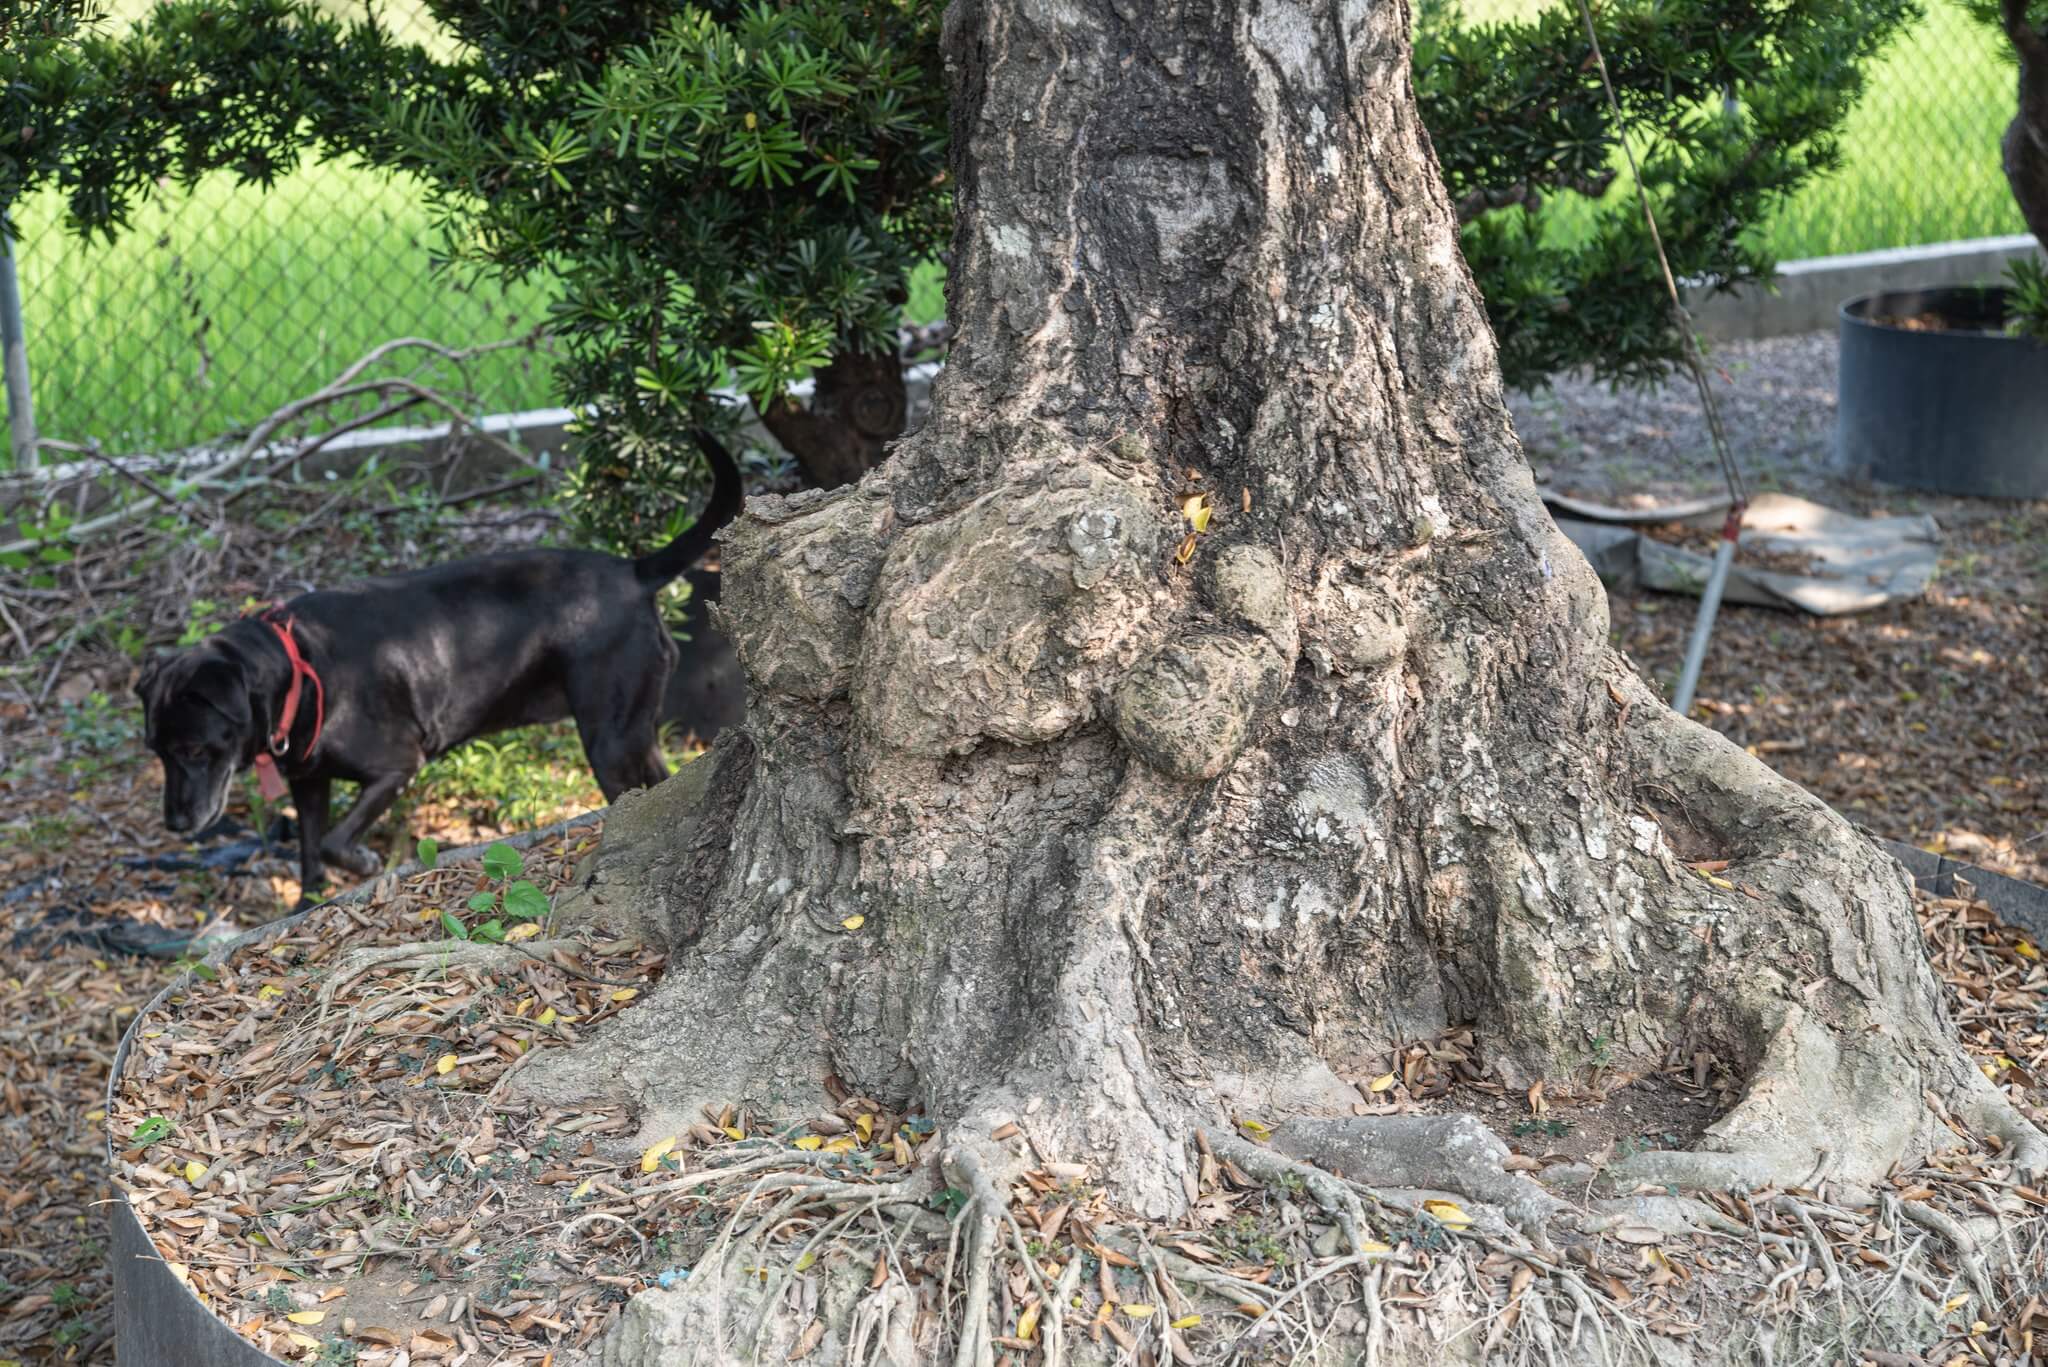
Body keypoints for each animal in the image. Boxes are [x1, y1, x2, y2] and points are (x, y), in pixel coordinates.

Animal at [138, 430, 745, 897]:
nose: (174, 823)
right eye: (157, 752)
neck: (298, 668)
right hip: (633, 731)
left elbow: (335, 843)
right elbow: (312, 861)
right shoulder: (309, 786)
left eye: (195, 750)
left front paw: (365, 862)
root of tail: (633, 571)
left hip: (609, 739)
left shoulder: (396, 766)